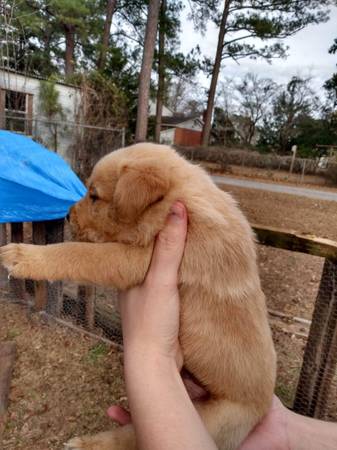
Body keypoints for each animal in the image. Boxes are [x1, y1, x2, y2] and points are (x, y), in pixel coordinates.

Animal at [0, 143, 274, 450]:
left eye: (95, 196)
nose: (68, 214)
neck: (177, 201)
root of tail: (262, 410)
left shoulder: (136, 258)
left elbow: (78, 253)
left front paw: (23, 255)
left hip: (208, 419)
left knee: (129, 437)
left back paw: (88, 444)